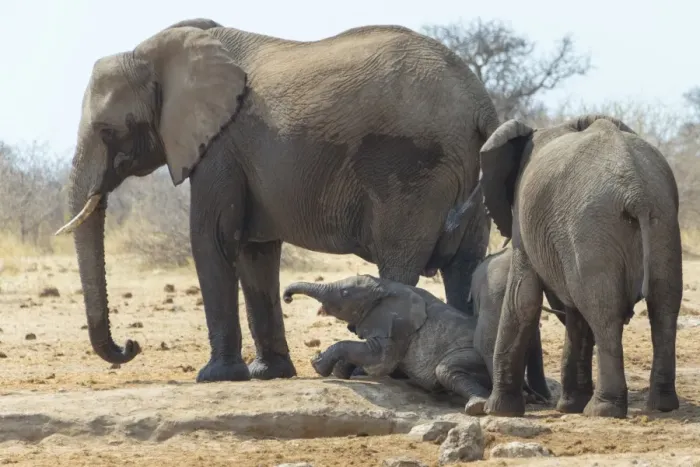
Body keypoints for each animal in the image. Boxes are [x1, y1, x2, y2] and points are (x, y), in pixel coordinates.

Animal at [54, 18, 500, 383]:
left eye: (107, 131)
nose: (130, 346)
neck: (156, 52)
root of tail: (481, 102)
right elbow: (255, 252)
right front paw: (268, 374)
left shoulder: (220, 145)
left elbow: (212, 239)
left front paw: (215, 376)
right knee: (466, 267)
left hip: (411, 172)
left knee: (399, 264)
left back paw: (372, 374)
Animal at [282, 275, 549, 415]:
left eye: (345, 293)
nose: (287, 297)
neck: (384, 287)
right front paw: (340, 371)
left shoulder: (397, 326)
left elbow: (379, 358)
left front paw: (319, 366)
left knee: (445, 370)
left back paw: (476, 406)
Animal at [476, 114, 683, 419]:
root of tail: (636, 192)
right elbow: (573, 313)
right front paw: (569, 406)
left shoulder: (526, 226)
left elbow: (522, 298)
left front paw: (497, 411)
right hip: (662, 221)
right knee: (664, 306)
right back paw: (662, 405)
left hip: (592, 227)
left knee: (603, 311)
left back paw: (602, 410)